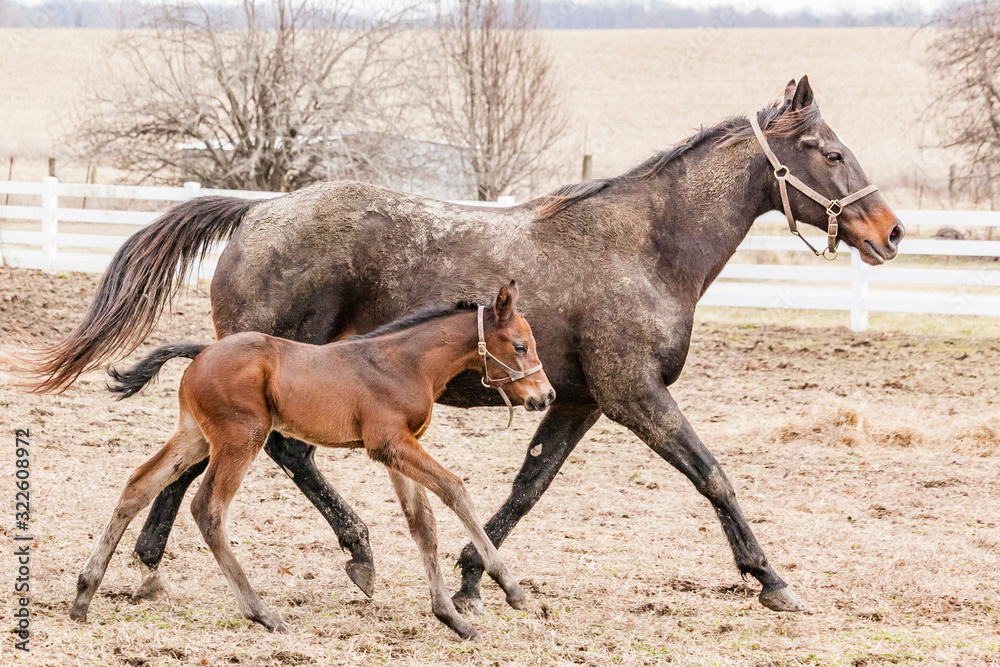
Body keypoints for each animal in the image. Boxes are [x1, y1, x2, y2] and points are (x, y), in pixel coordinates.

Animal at [70, 282, 556, 640]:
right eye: (519, 346)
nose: (546, 396)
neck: (405, 362)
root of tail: (201, 352)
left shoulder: (396, 450)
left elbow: (423, 524)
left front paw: (451, 618)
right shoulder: (390, 444)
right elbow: (455, 489)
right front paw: (511, 588)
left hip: (194, 436)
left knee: (137, 485)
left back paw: (83, 596)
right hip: (241, 439)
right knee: (208, 509)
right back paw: (261, 612)